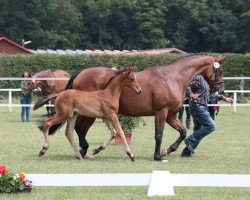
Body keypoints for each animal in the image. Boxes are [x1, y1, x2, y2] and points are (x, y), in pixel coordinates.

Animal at [34, 54, 225, 161]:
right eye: (220, 70)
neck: (171, 77)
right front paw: (158, 156)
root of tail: (81, 72)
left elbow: (183, 132)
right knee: (79, 129)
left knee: (78, 130)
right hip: (89, 113)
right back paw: (85, 150)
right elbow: (158, 135)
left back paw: (86, 150)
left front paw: (168, 150)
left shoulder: (171, 115)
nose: (220, 90)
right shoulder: (161, 113)